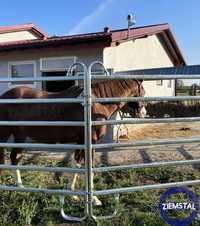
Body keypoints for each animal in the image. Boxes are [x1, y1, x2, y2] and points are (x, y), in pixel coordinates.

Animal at [0, 79, 145, 205]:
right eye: (142, 92)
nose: (143, 113)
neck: (95, 105)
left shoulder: (83, 142)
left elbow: (77, 165)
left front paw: (73, 194)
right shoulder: (89, 142)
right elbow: (87, 168)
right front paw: (94, 200)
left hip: (20, 135)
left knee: (15, 157)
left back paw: (21, 187)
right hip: (5, 134)